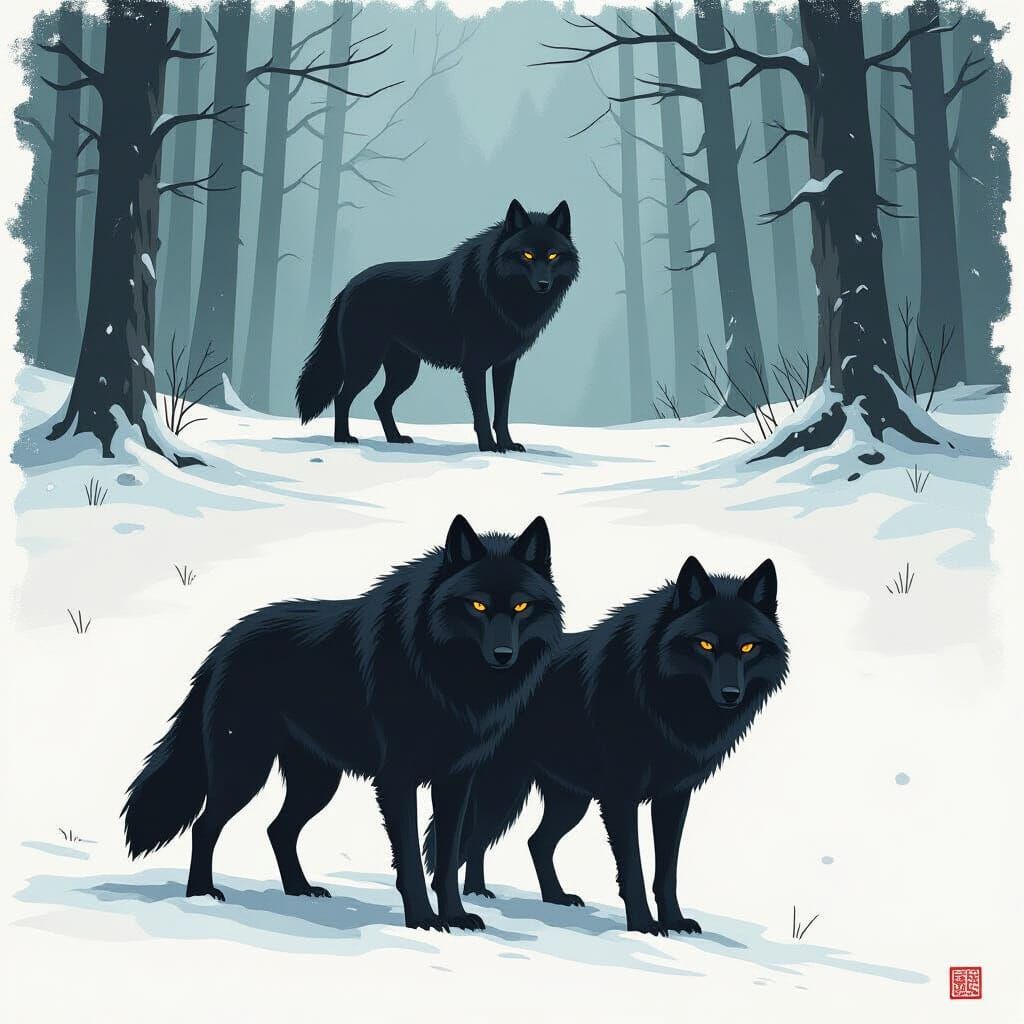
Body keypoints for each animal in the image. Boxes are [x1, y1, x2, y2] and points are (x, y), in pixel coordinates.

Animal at [122, 515, 563, 932]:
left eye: (521, 607)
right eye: (478, 606)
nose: (503, 654)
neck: (452, 678)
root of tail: (222, 645)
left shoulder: (456, 780)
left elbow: (448, 856)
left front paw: (455, 916)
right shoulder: (397, 779)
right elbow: (411, 860)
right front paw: (423, 921)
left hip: (316, 783)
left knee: (277, 829)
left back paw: (299, 890)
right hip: (245, 771)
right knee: (204, 826)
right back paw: (201, 894)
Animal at [295, 199, 579, 452]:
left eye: (553, 255)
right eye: (527, 255)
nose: (543, 284)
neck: (501, 293)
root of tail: (346, 287)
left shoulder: (505, 366)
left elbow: (502, 412)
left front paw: (508, 445)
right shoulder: (474, 366)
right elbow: (483, 413)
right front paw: (489, 447)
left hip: (405, 371)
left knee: (380, 402)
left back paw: (395, 439)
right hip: (366, 363)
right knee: (343, 398)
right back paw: (343, 439)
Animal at [427, 556, 788, 935]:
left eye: (748, 647)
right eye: (705, 645)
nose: (731, 694)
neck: (660, 699)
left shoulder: (673, 797)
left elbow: (667, 871)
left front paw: (674, 921)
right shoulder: (620, 797)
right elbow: (634, 868)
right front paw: (644, 925)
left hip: (569, 803)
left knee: (532, 842)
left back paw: (550, 897)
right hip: (505, 792)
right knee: (475, 839)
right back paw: (476, 894)